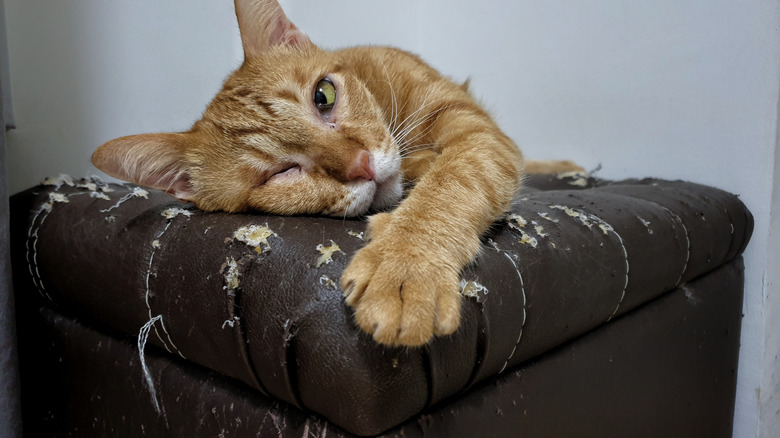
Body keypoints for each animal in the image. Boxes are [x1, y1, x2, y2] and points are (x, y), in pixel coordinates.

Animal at [91, 0, 580, 348]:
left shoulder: (479, 134)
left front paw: (406, 265)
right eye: (279, 174)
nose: (360, 164)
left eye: (323, 95)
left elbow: (453, 181)